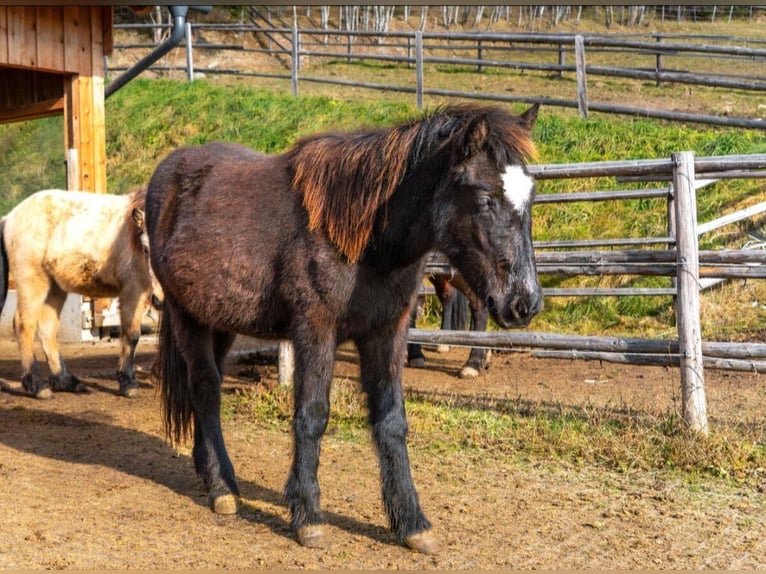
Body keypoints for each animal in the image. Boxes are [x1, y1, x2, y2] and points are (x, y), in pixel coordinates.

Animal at [0, 188, 164, 400]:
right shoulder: (133, 291)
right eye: (145, 249)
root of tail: (10, 217)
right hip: (33, 282)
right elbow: (132, 334)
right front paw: (129, 384)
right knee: (24, 324)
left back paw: (65, 381)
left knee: (47, 328)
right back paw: (37, 386)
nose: (159, 300)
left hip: (55, 288)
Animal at [145, 103, 542, 554]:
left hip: (220, 320)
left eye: (530, 196)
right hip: (186, 315)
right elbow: (312, 415)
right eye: (485, 198)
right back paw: (222, 488)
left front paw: (412, 522)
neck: (363, 237)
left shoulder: (387, 333)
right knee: (206, 389)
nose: (525, 303)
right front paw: (308, 517)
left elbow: (391, 421)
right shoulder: (315, 329)